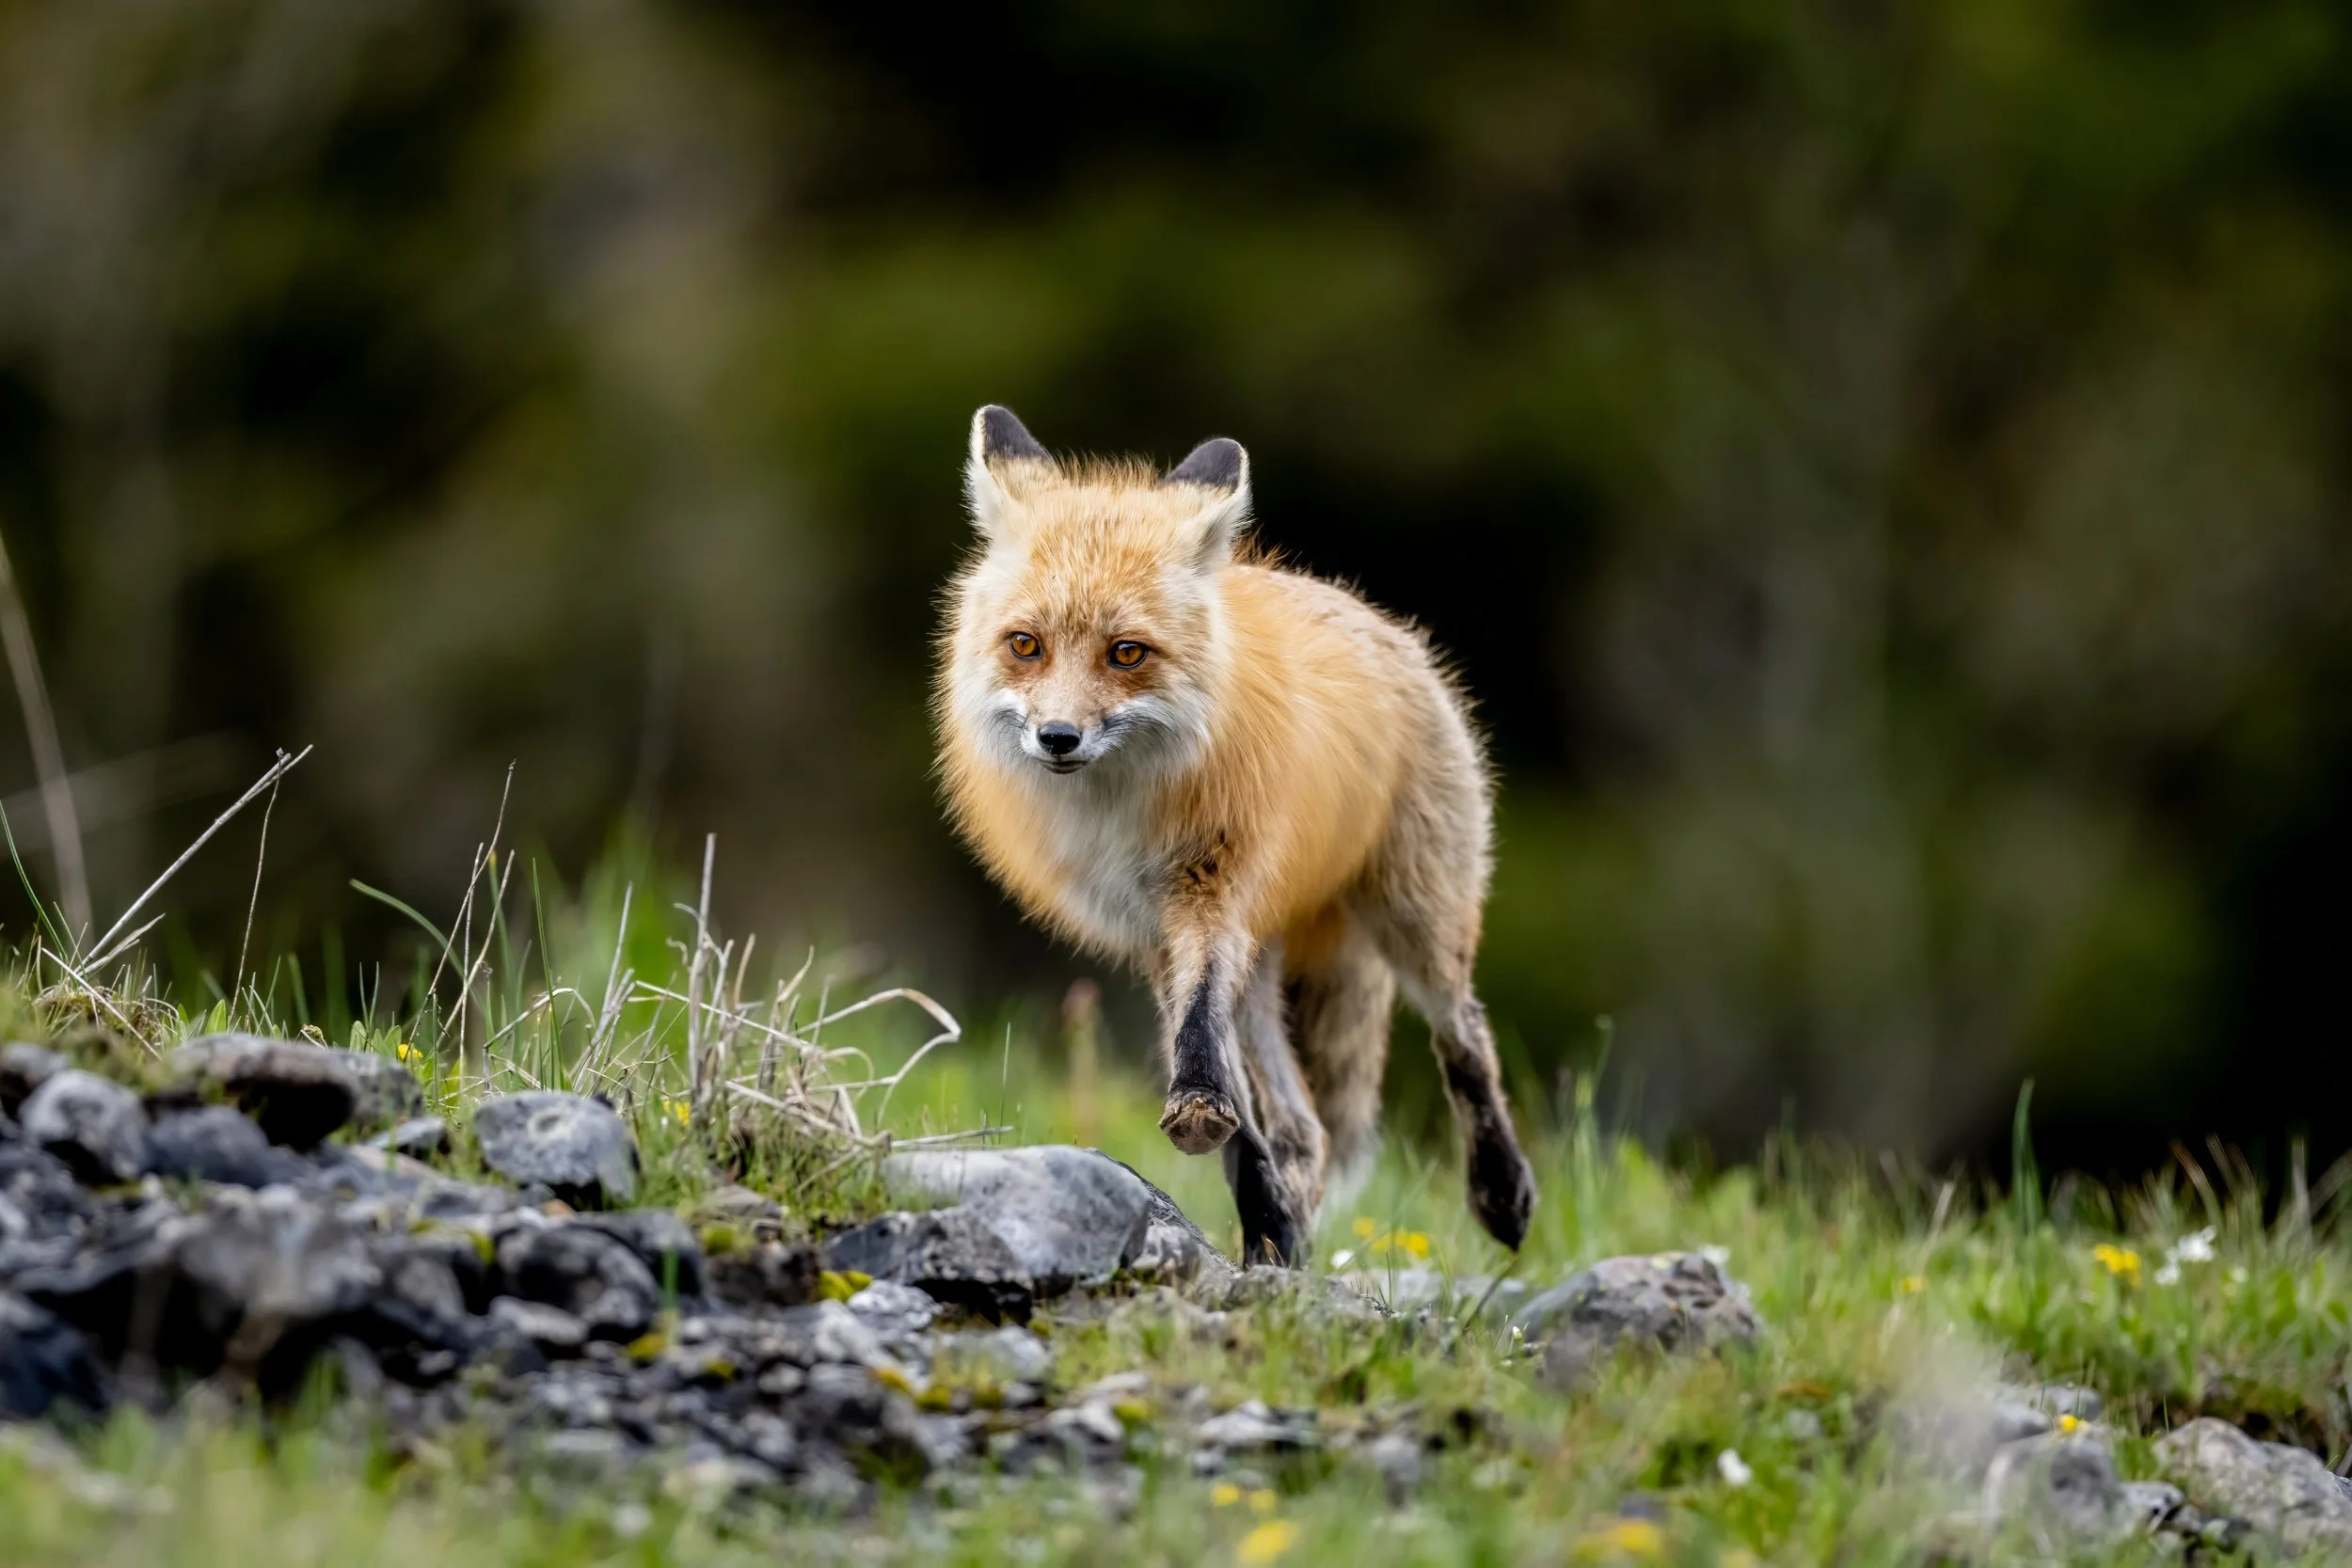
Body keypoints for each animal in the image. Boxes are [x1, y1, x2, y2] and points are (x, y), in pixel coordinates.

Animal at [935, 405, 1537, 1265]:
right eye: (1026, 645)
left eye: (1127, 653)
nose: (1058, 737)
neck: (1120, 808)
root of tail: (1374, 616)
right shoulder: (1149, 929)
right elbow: (1241, 1114)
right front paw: (1262, 1208)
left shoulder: (1211, 885)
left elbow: (1202, 1034)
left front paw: (1205, 1116)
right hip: (1268, 965)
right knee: (1305, 1129)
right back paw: (1286, 1239)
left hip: (1415, 916)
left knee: (1465, 1033)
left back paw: (1501, 1191)